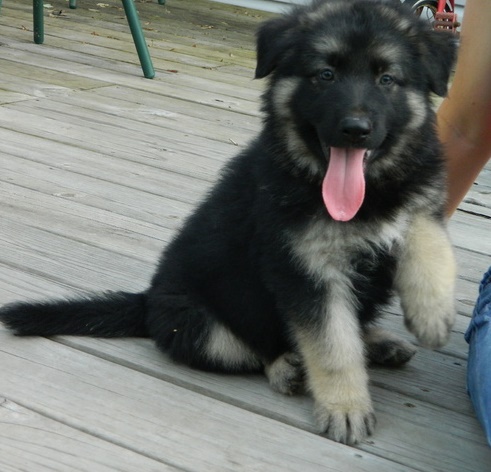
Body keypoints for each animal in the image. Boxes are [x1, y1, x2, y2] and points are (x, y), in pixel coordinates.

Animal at [1, 0, 460, 444]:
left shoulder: (419, 200)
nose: (355, 130)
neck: (362, 194)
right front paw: (345, 406)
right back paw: (288, 367)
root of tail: (146, 301)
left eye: (388, 79)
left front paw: (433, 312)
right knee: (257, 349)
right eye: (325, 75)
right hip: (201, 326)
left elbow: (426, 235)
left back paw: (377, 341)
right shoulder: (307, 271)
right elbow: (332, 345)